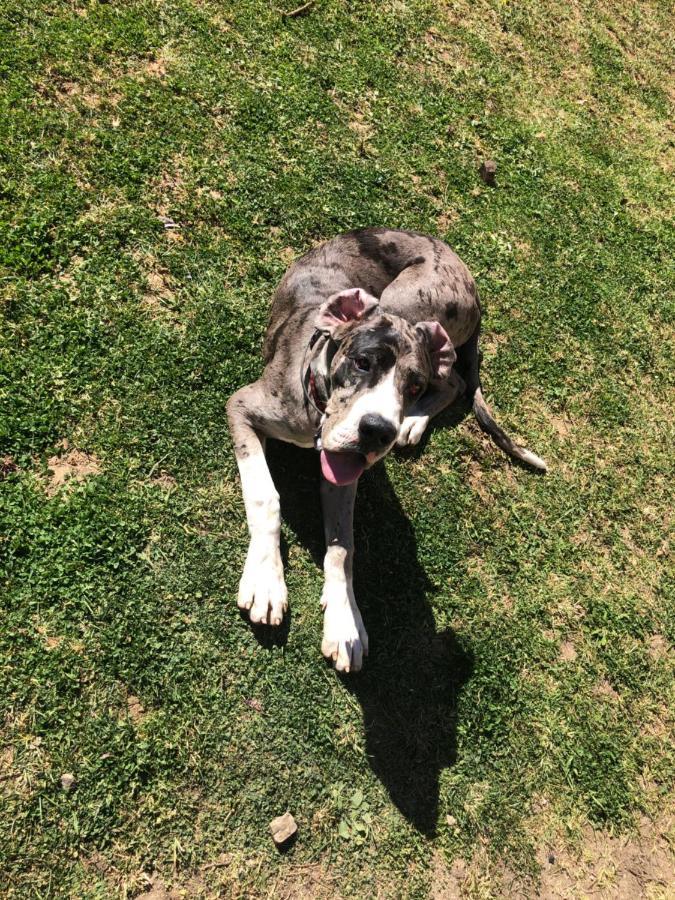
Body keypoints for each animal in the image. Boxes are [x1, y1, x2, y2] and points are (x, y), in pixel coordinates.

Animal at [230, 229, 548, 672]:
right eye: (363, 363)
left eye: (412, 386)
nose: (378, 431)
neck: (315, 410)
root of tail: (464, 271)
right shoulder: (241, 407)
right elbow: (265, 495)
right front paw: (266, 579)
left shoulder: (343, 475)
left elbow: (343, 547)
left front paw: (344, 621)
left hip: (412, 306)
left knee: (454, 382)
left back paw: (413, 423)